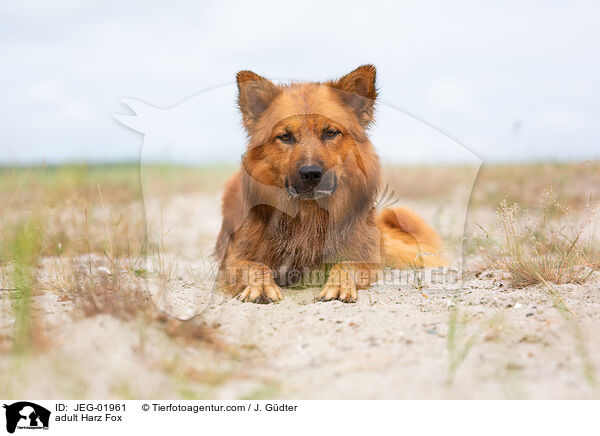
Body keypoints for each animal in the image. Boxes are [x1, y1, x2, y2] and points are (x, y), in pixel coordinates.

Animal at [214, 64, 446, 304]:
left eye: (330, 133)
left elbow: (345, 265)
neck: (308, 213)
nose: (310, 173)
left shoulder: (364, 256)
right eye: (285, 136)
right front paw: (260, 287)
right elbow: (254, 266)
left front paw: (339, 285)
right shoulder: (233, 259)